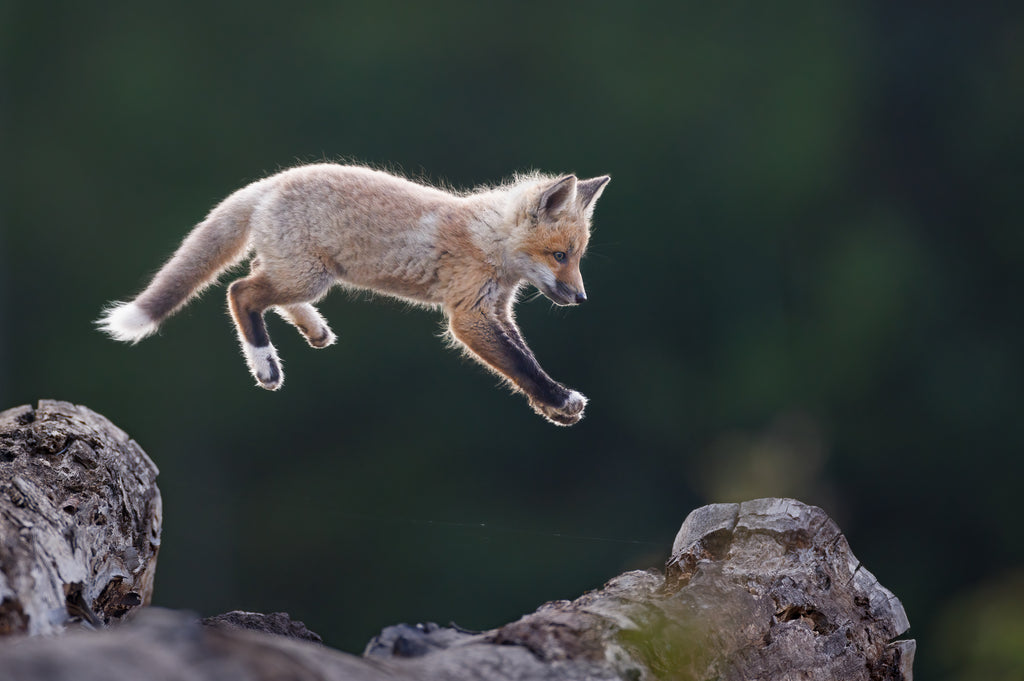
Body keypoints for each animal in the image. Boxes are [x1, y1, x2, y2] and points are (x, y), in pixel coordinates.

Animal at [97, 161, 606, 421]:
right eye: (560, 255)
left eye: (578, 256)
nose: (582, 299)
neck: (488, 239)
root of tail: (270, 181)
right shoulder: (469, 315)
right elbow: (520, 364)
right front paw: (557, 399)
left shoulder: (497, 310)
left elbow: (522, 357)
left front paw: (549, 405)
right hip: (307, 275)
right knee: (240, 291)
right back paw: (265, 364)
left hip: (304, 271)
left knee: (259, 281)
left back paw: (313, 328)